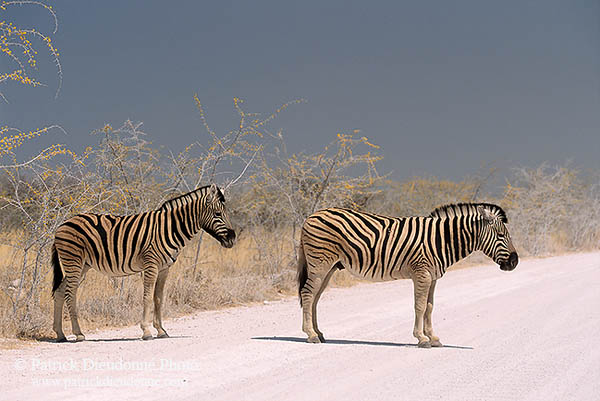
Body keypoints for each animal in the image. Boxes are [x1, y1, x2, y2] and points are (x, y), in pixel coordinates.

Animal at [51, 184, 236, 340]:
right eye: (218, 214)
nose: (232, 239)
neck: (170, 228)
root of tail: (62, 225)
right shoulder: (151, 264)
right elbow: (147, 297)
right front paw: (146, 331)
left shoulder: (164, 268)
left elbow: (158, 298)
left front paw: (161, 330)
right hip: (74, 261)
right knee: (70, 293)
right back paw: (78, 333)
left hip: (82, 265)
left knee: (59, 292)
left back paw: (60, 334)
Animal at [298, 202, 516, 346]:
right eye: (501, 235)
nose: (515, 262)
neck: (441, 240)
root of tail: (310, 216)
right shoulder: (422, 274)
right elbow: (419, 306)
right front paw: (421, 338)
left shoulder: (433, 277)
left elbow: (430, 307)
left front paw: (433, 337)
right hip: (320, 263)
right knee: (308, 294)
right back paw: (311, 335)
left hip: (330, 267)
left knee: (315, 297)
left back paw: (318, 333)